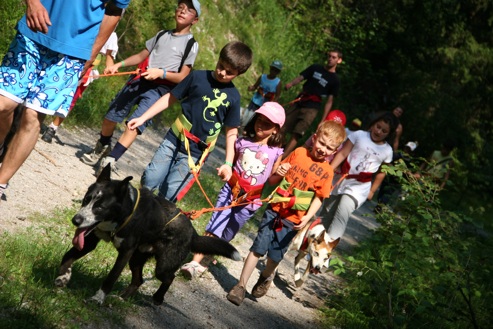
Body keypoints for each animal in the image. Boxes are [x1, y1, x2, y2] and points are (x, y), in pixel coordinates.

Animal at [54, 164, 241, 304]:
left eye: (99, 208)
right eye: (86, 200)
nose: (76, 220)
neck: (127, 212)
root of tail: (193, 233)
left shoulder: (125, 252)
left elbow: (111, 277)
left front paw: (98, 298)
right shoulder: (91, 240)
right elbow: (67, 256)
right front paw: (63, 276)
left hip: (162, 265)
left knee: (169, 277)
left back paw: (158, 298)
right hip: (137, 258)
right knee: (139, 280)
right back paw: (122, 298)